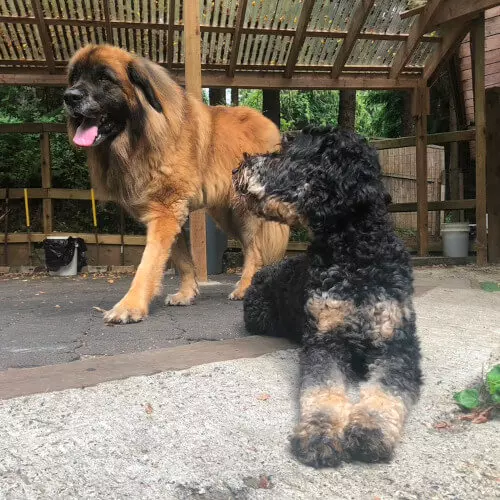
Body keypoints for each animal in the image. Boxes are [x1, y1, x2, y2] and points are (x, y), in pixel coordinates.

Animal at [65, 44, 290, 324]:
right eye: (74, 77)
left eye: (104, 78)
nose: (69, 97)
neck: (142, 137)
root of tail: (269, 125)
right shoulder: (169, 214)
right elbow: (182, 258)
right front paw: (186, 294)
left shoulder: (166, 212)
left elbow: (148, 263)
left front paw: (130, 305)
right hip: (225, 214)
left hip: (245, 211)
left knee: (254, 250)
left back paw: (244, 288)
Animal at [232, 127, 420, 466]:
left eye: (286, 152)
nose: (237, 168)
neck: (356, 255)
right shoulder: (324, 341)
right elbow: (322, 389)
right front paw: (320, 433)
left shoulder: (398, 344)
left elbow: (387, 391)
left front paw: (370, 430)